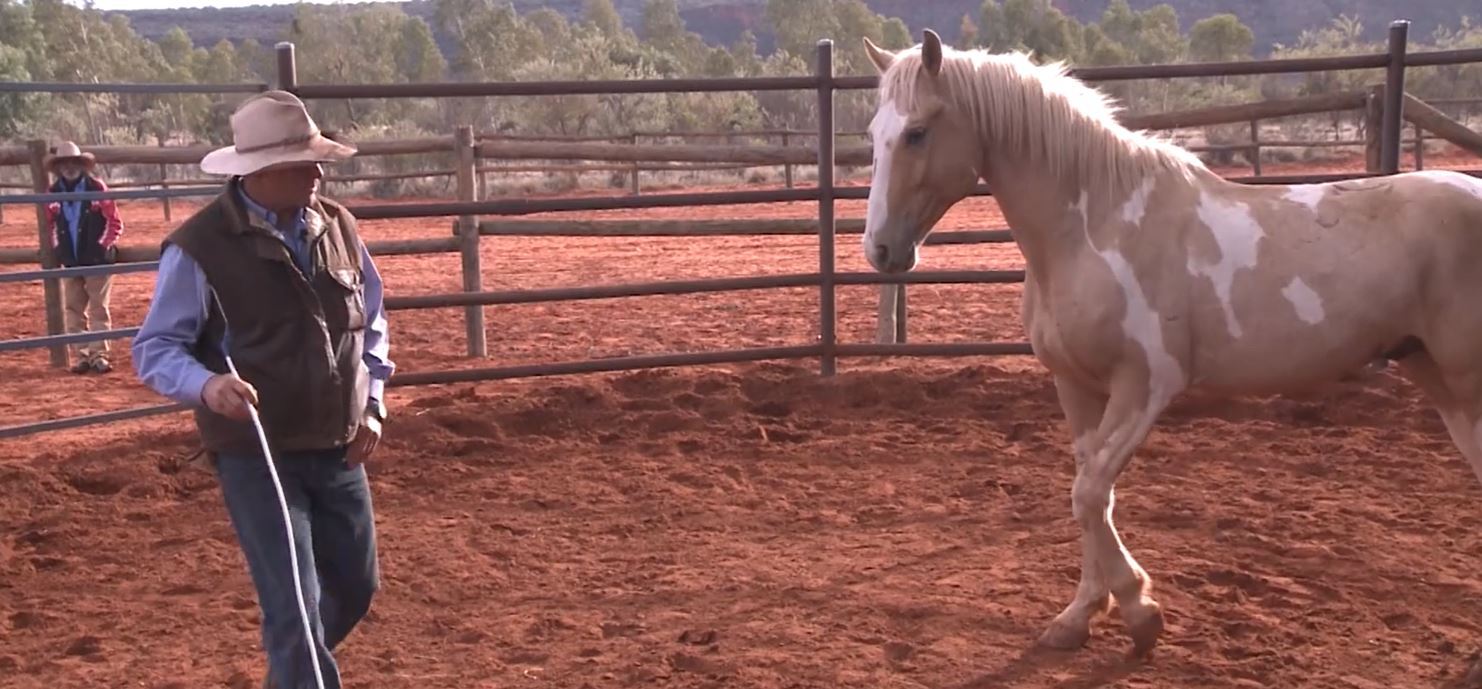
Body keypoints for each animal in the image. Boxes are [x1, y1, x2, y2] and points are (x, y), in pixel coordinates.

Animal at [859, 28, 1482, 666]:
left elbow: (1089, 494)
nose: (879, 249)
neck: (1096, 227)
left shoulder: (1146, 386)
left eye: (917, 132)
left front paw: (1141, 613)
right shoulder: (1075, 386)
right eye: (874, 131)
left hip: (1466, 380)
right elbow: (1090, 495)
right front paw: (1078, 617)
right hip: (1436, 376)